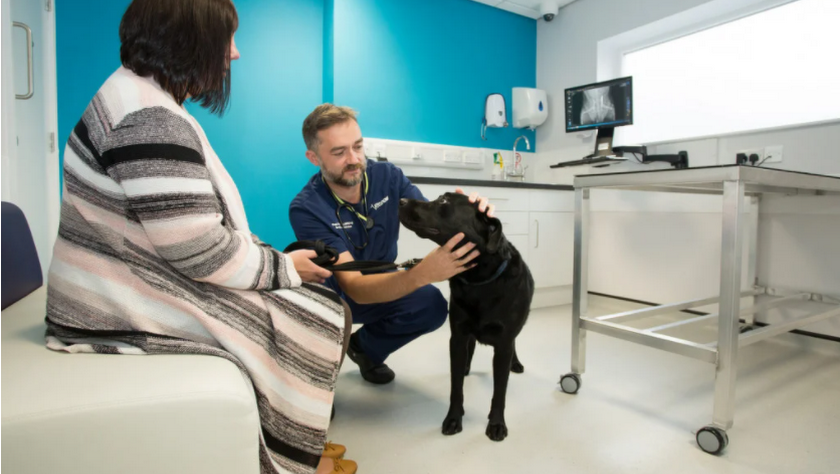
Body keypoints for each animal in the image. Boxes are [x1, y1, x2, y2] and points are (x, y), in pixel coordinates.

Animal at [398, 192, 534, 441]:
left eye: (444, 201)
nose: (401, 201)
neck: (478, 280)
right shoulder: (458, 336)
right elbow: (456, 386)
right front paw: (454, 417)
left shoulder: (503, 344)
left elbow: (500, 390)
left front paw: (496, 423)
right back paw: (467, 367)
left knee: (515, 344)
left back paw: (516, 363)